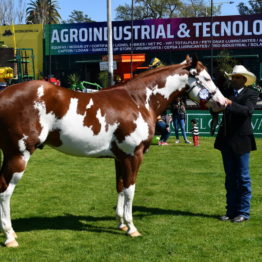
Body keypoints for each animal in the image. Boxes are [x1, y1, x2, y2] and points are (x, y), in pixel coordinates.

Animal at [0, 56, 225, 247]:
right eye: (206, 78)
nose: (224, 103)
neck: (137, 99)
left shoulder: (120, 157)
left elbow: (120, 187)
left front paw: (121, 223)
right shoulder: (134, 156)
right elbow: (130, 190)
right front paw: (132, 227)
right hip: (18, 156)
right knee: (5, 191)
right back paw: (10, 236)